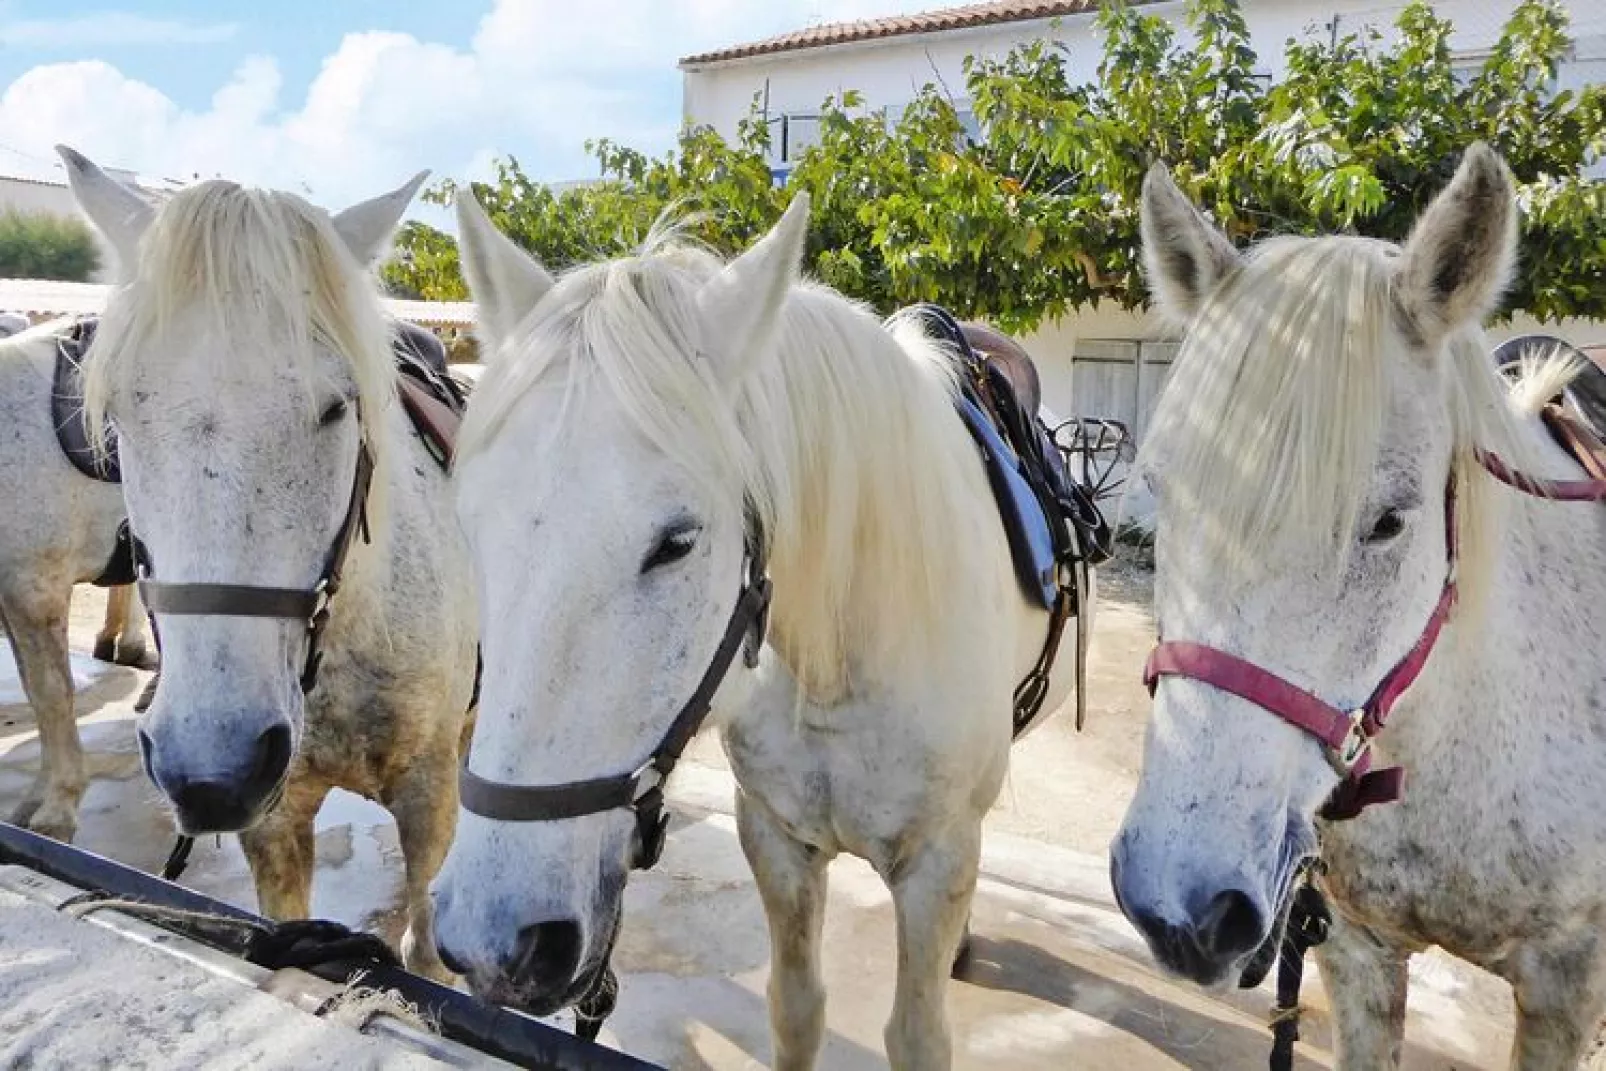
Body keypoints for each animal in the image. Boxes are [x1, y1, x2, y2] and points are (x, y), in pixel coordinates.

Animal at [62, 148, 475, 982]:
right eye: (120, 413)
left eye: (337, 407)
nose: (212, 772)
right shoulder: (275, 823)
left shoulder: (429, 800)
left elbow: (425, 949)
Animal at [427, 196, 1085, 1066]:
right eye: (469, 523)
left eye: (678, 541)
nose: (491, 940)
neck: (839, 663)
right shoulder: (774, 836)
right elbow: (795, 1006)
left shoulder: (935, 859)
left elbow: (917, 1033)